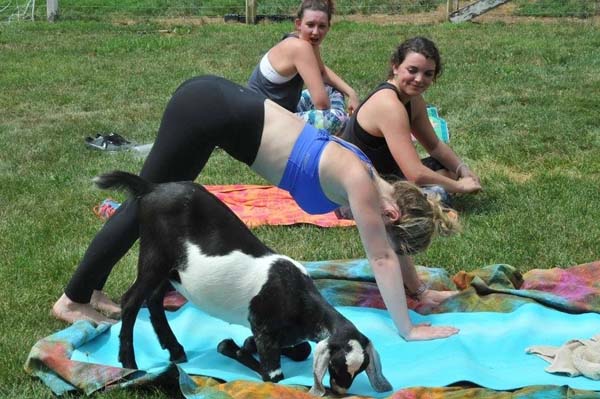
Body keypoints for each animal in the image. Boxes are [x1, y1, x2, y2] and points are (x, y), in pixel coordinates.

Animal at [94, 171, 394, 396]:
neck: (298, 297)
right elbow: (272, 375)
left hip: (171, 269)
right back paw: (130, 364)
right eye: (337, 365)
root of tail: (152, 188)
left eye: (361, 367)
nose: (341, 391)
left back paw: (175, 350)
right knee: (132, 300)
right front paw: (233, 347)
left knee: (154, 299)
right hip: (154, 255)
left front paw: (246, 344)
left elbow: (303, 349)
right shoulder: (264, 330)